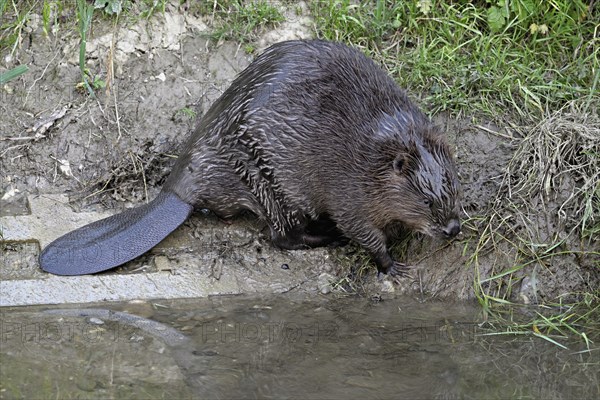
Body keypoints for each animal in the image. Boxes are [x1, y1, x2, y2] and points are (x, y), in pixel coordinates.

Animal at [39, 41, 462, 278]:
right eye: (426, 201)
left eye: (453, 188)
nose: (454, 230)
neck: (378, 148)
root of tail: (178, 191)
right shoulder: (348, 189)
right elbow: (362, 231)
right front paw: (393, 266)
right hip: (266, 181)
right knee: (281, 236)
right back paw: (325, 236)